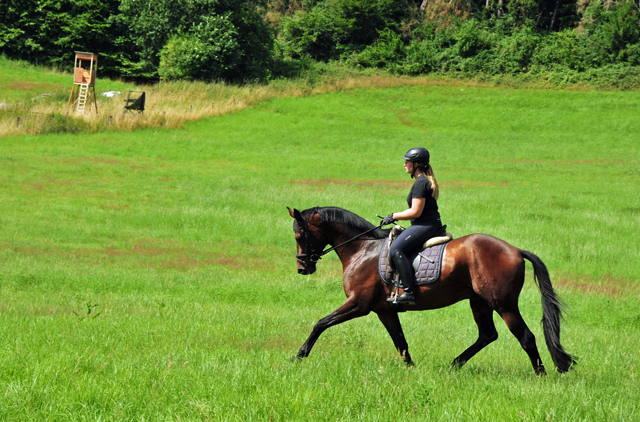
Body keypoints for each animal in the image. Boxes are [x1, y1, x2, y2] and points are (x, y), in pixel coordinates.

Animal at [288, 206, 576, 374]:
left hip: (503, 304)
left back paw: (541, 374)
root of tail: (515, 250)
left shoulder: (359, 304)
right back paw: (454, 365)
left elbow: (321, 323)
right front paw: (411, 371)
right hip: (479, 302)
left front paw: (298, 356)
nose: (302, 268)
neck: (362, 249)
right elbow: (400, 342)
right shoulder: (384, 311)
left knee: (526, 337)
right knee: (487, 335)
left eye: (299, 235)